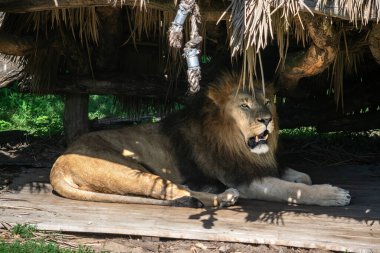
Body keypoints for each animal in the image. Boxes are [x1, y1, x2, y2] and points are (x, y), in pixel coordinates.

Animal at [49, 72, 350, 207]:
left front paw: (303, 178)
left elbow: (302, 178)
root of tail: (57, 166)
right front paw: (333, 194)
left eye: (267, 101)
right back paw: (224, 196)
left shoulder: (258, 166)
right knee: (175, 193)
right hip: (130, 171)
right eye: (244, 106)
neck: (236, 141)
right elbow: (291, 190)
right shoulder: (243, 179)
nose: (267, 120)